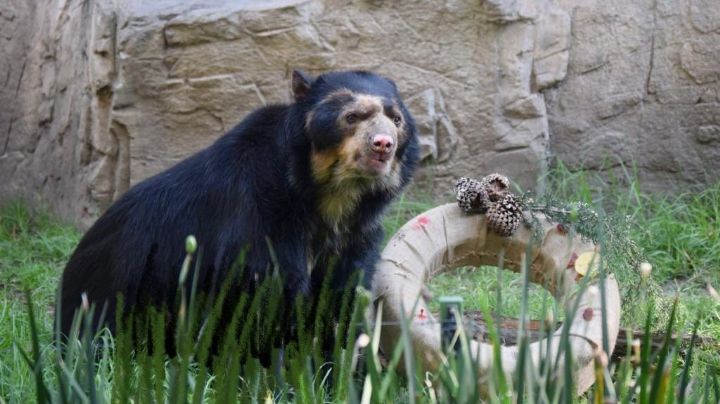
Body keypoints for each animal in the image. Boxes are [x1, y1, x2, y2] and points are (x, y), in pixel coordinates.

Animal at [59, 71, 420, 356]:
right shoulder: (260, 220)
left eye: (396, 120)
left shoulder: (356, 237)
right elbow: (265, 299)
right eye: (352, 117)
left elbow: (338, 302)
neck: (331, 199)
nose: (383, 145)